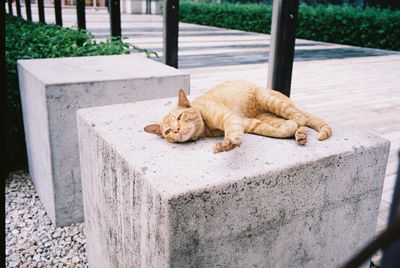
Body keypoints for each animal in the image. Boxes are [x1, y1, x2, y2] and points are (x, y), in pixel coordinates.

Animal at [144, 80, 332, 153]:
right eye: (167, 132)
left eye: (180, 117)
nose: (176, 130)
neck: (206, 129)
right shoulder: (250, 123)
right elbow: (276, 131)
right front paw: (289, 130)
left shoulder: (229, 118)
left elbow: (232, 133)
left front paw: (228, 143)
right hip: (267, 116)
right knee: (293, 122)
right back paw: (299, 134)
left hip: (271, 100)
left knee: (300, 117)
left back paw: (299, 127)